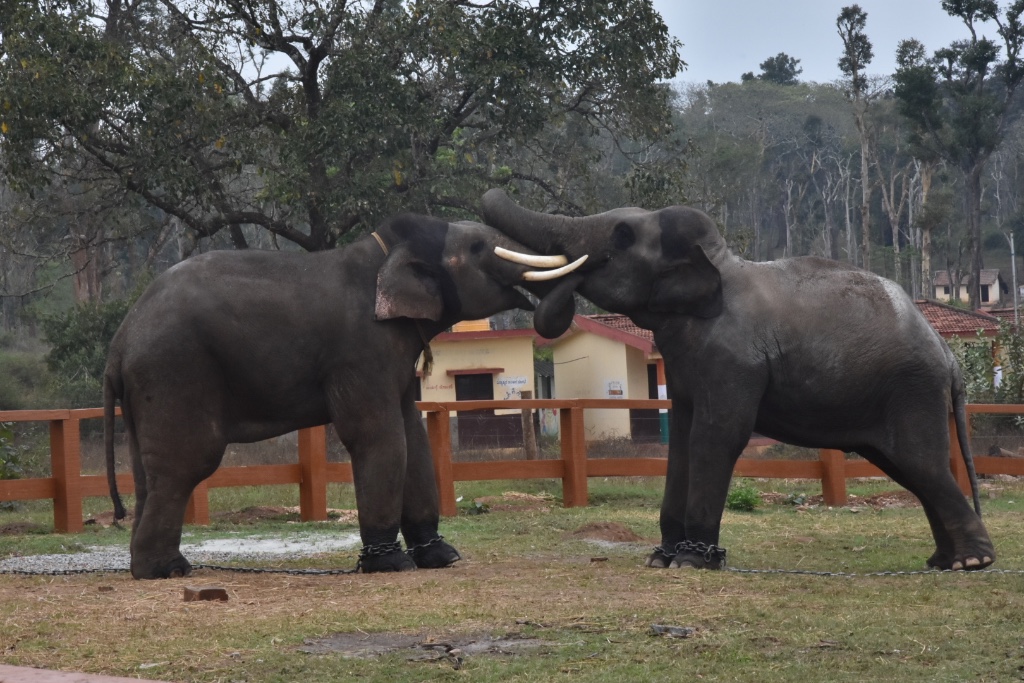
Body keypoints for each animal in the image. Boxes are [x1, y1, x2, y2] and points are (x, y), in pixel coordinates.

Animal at [104, 213, 583, 579]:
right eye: (479, 248)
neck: (387, 251)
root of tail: (120, 341)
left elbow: (412, 436)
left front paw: (442, 557)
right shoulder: (360, 351)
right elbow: (378, 436)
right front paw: (391, 565)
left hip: (149, 388)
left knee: (148, 471)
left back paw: (155, 566)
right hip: (176, 370)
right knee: (187, 464)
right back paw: (166, 571)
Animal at [483, 188, 995, 572]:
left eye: (623, 236)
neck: (719, 263)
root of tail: (949, 355)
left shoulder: (733, 359)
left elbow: (718, 435)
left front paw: (691, 562)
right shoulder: (686, 363)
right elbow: (682, 438)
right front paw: (661, 559)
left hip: (912, 389)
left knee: (922, 465)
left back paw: (972, 563)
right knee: (910, 468)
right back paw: (944, 561)